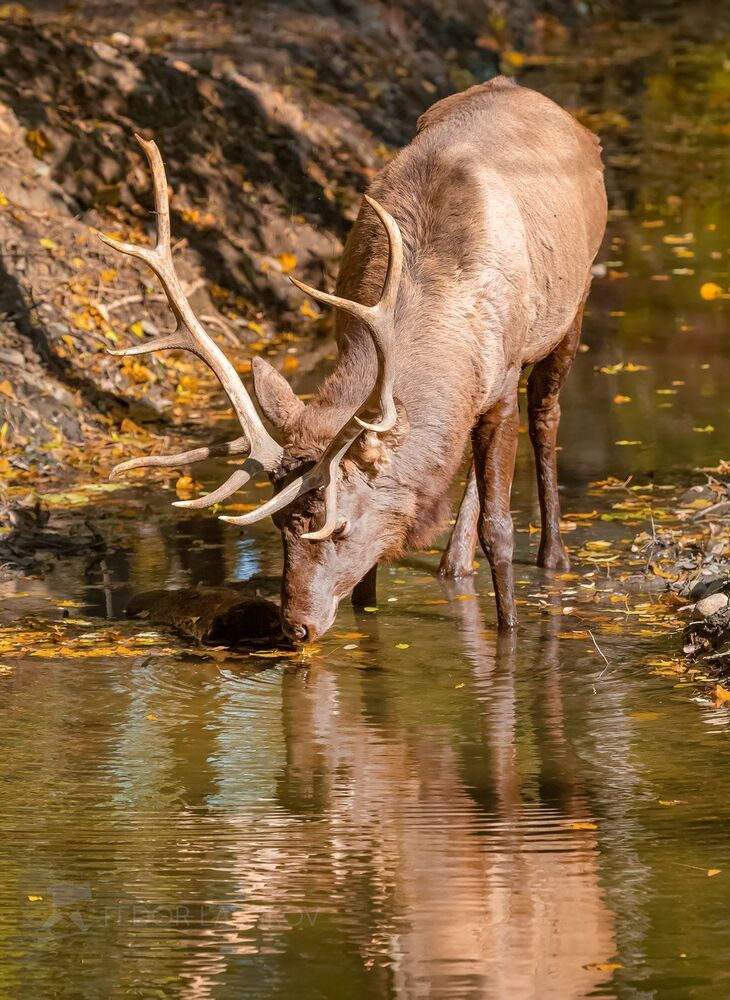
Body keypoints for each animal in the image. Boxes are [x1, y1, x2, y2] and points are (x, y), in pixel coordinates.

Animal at [99, 76, 607, 643]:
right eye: (279, 525)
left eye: (337, 526)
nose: (295, 626)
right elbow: (373, 571)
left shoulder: (500, 386)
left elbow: (498, 527)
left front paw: (511, 629)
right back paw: (453, 565)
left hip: (574, 302)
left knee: (545, 414)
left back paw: (553, 556)